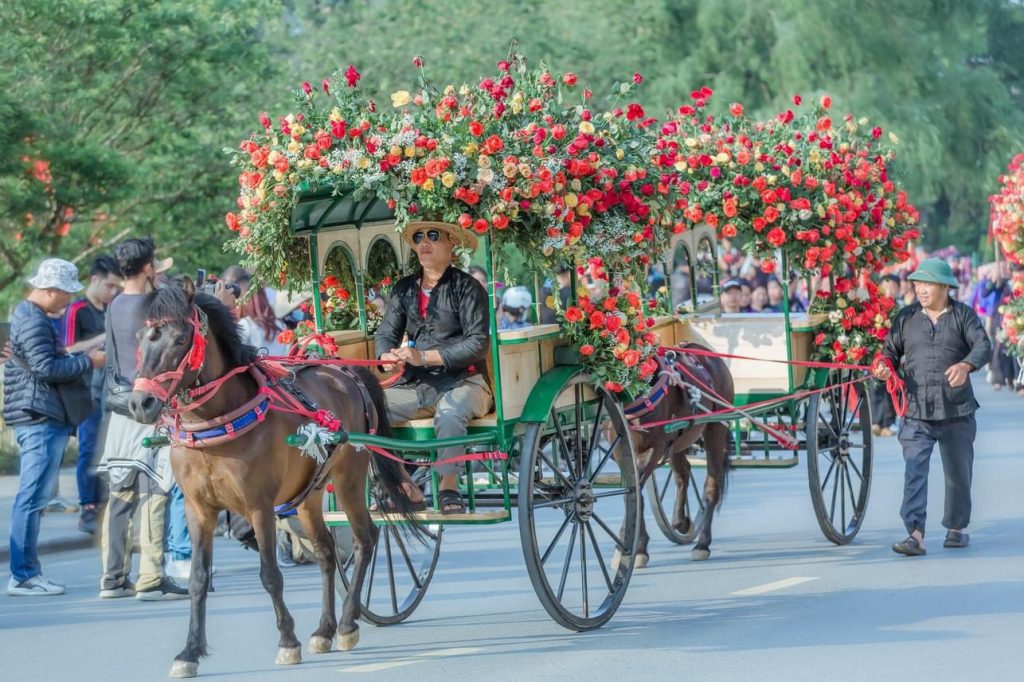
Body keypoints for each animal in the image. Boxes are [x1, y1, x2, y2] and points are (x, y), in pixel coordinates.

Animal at [130, 280, 417, 675]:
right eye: (142, 337)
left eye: (180, 339)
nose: (139, 403)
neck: (215, 425)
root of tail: (347, 373)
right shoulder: (198, 509)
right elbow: (198, 580)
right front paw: (189, 653)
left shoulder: (259, 506)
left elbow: (270, 575)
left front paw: (287, 641)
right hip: (310, 493)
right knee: (326, 552)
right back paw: (324, 630)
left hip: (349, 475)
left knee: (365, 538)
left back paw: (346, 624)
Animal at [618, 346, 733, 561]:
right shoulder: (620, 452)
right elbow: (632, 492)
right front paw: (634, 545)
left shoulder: (653, 450)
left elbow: (635, 490)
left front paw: (630, 543)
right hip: (679, 440)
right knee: (683, 473)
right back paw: (681, 521)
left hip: (715, 429)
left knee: (713, 484)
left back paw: (702, 544)